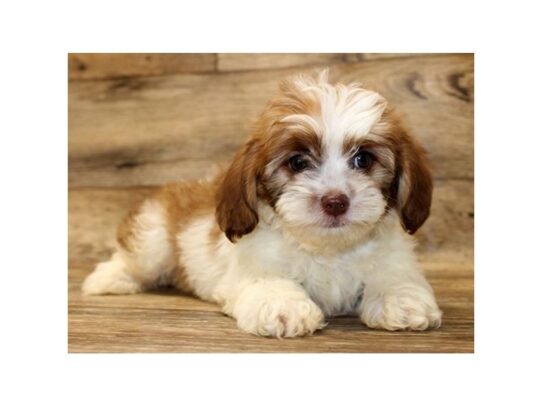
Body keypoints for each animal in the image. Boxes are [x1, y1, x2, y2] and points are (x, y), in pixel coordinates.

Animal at [83, 70, 444, 338]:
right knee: (134, 259)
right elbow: (268, 282)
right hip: (154, 237)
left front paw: (401, 300)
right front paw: (284, 306)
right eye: (297, 162)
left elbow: (395, 273)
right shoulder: (253, 264)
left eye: (363, 159)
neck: (328, 249)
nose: (335, 201)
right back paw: (108, 280)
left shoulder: (392, 254)